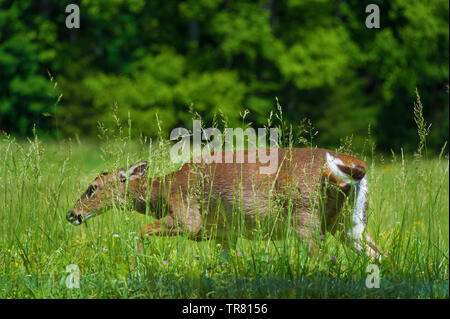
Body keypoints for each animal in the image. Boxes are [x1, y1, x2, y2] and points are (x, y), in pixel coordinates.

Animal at [67, 148, 386, 262]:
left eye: (92, 187)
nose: (71, 214)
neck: (163, 192)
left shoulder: (188, 216)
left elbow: (142, 231)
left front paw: (139, 263)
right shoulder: (224, 232)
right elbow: (224, 262)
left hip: (305, 213)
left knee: (320, 259)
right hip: (348, 220)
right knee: (378, 253)